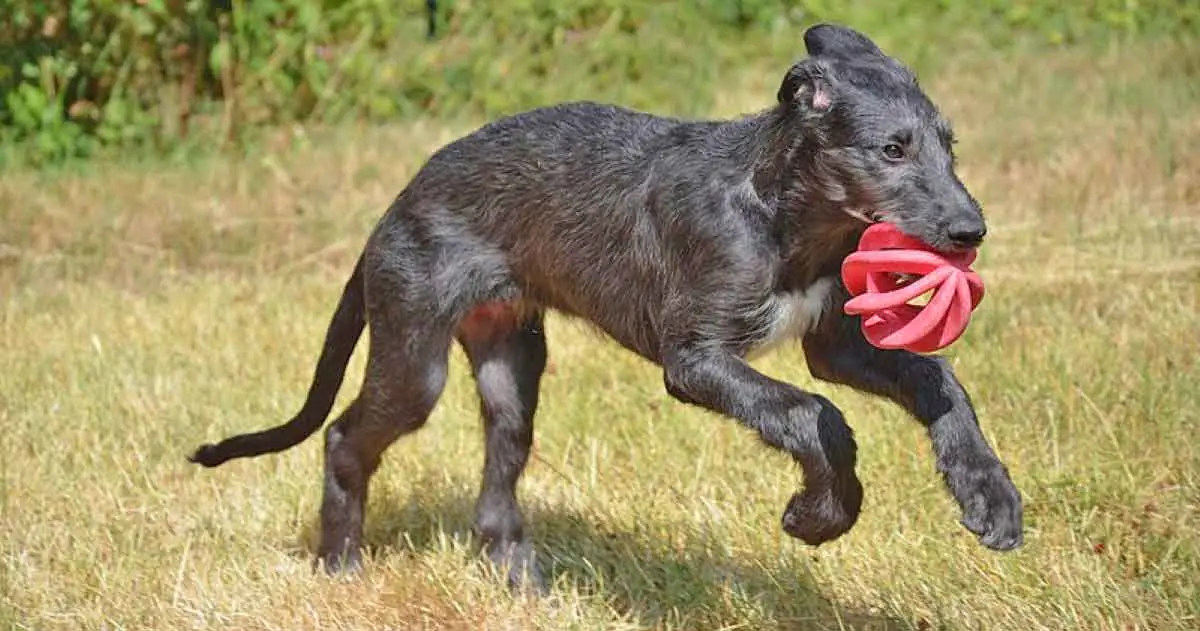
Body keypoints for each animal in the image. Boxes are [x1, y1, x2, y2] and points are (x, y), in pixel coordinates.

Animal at [187, 22, 1022, 590]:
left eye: (950, 144)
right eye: (892, 149)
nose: (970, 232)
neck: (783, 215)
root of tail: (396, 204)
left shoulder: (833, 344)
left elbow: (939, 380)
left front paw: (990, 495)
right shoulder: (695, 357)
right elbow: (812, 414)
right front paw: (819, 514)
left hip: (512, 364)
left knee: (496, 488)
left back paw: (522, 580)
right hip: (413, 351)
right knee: (343, 436)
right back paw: (340, 563)